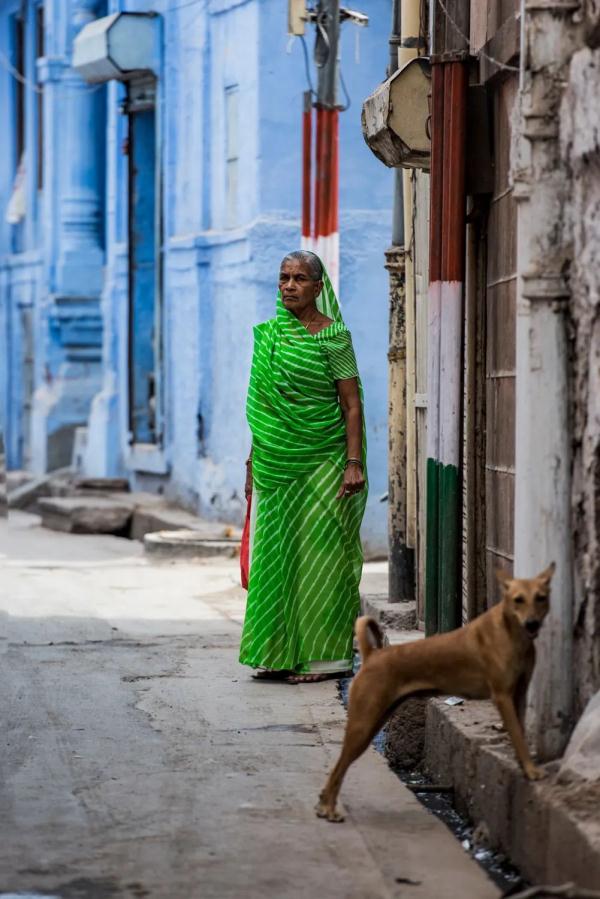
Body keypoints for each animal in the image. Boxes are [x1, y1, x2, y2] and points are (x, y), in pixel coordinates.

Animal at [316, 568, 556, 828]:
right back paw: (328, 808)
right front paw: (532, 770)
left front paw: (523, 766)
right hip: (363, 724)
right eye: (518, 600)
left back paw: (324, 806)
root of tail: (372, 656)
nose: (532, 623)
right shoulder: (502, 696)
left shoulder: (519, 694)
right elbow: (519, 739)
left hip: (377, 718)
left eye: (541, 598)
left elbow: (520, 733)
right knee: (339, 766)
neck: (510, 631)